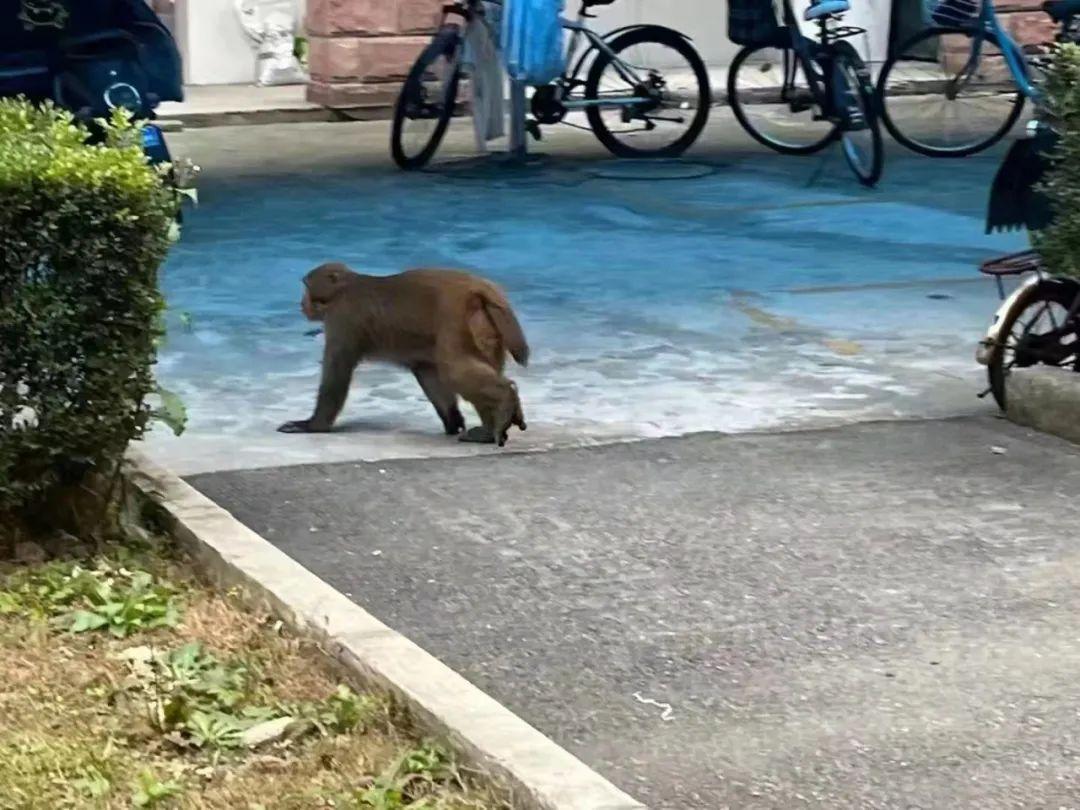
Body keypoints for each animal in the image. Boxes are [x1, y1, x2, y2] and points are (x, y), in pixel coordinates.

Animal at [280, 263, 529, 447]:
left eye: (306, 287)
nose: (301, 303)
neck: (345, 288)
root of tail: (480, 289)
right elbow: (426, 372)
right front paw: (453, 420)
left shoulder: (342, 318)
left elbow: (337, 371)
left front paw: (313, 425)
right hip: (485, 327)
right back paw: (488, 430)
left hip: (457, 320)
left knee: (455, 371)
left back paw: (504, 399)